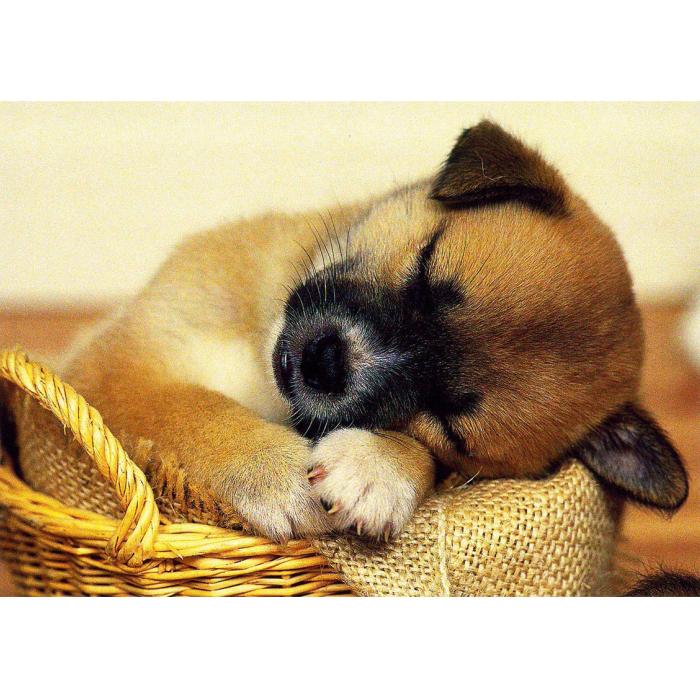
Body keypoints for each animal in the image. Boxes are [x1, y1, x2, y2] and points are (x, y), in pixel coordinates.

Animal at [58, 120, 688, 543]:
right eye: (426, 267)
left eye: (449, 422)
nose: (324, 363)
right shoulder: (119, 362)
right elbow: (193, 410)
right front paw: (274, 473)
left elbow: (424, 463)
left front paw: (380, 466)